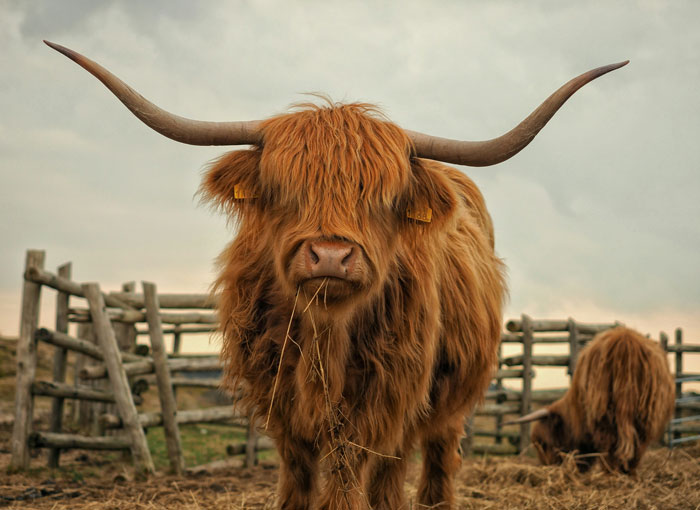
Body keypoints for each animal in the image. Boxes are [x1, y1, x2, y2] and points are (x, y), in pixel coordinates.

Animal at [45, 40, 627, 509]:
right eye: (284, 189)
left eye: (383, 197)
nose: (329, 256)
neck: (325, 336)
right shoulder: (279, 403)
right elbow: (299, 477)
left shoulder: (383, 401)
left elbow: (354, 475)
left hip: (445, 400)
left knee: (426, 463)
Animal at [508, 327, 675, 474]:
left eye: (543, 443)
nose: (548, 467)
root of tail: (625, 341)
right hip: (646, 413)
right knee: (637, 444)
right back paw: (628, 472)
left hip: (603, 412)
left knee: (610, 444)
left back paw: (611, 473)